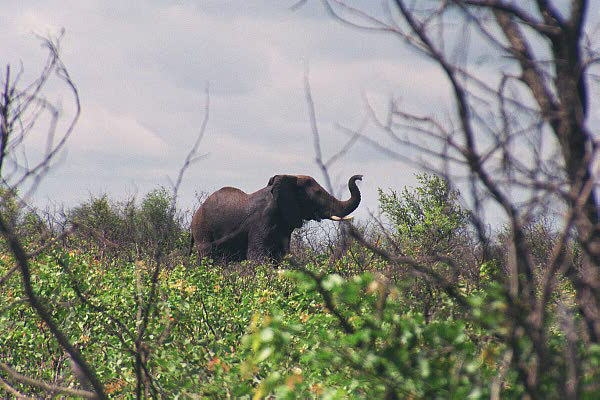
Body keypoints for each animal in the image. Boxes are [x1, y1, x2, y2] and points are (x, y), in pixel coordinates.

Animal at [190, 174, 364, 262]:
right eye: (318, 193)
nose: (360, 177)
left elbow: (281, 256)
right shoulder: (260, 221)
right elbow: (258, 257)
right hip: (202, 230)